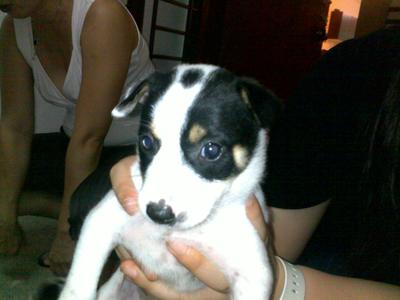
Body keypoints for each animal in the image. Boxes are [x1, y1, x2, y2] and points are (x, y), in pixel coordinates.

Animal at [58, 63, 278, 300]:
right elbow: (77, 286)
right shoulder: (100, 222)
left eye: (211, 150)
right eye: (146, 142)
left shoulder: (252, 271)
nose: (158, 214)